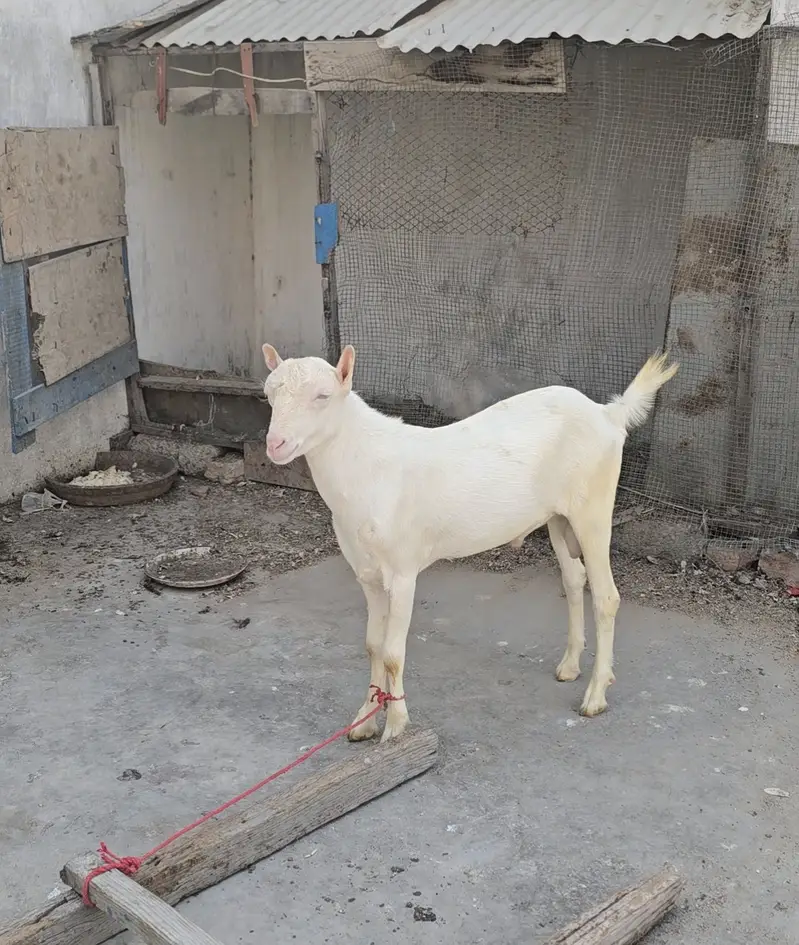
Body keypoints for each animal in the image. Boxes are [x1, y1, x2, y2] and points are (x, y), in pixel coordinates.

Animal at [261, 344, 678, 742]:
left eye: (323, 396)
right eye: (269, 394)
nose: (275, 443)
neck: (367, 467)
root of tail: (608, 414)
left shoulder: (403, 570)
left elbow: (393, 652)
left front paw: (396, 726)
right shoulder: (367, 573)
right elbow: (373, 645)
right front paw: (363, 721)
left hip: (593, 507)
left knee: (606, 597)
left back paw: (595, 695)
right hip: (559, 517)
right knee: (574, 580)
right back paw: (570, 666)